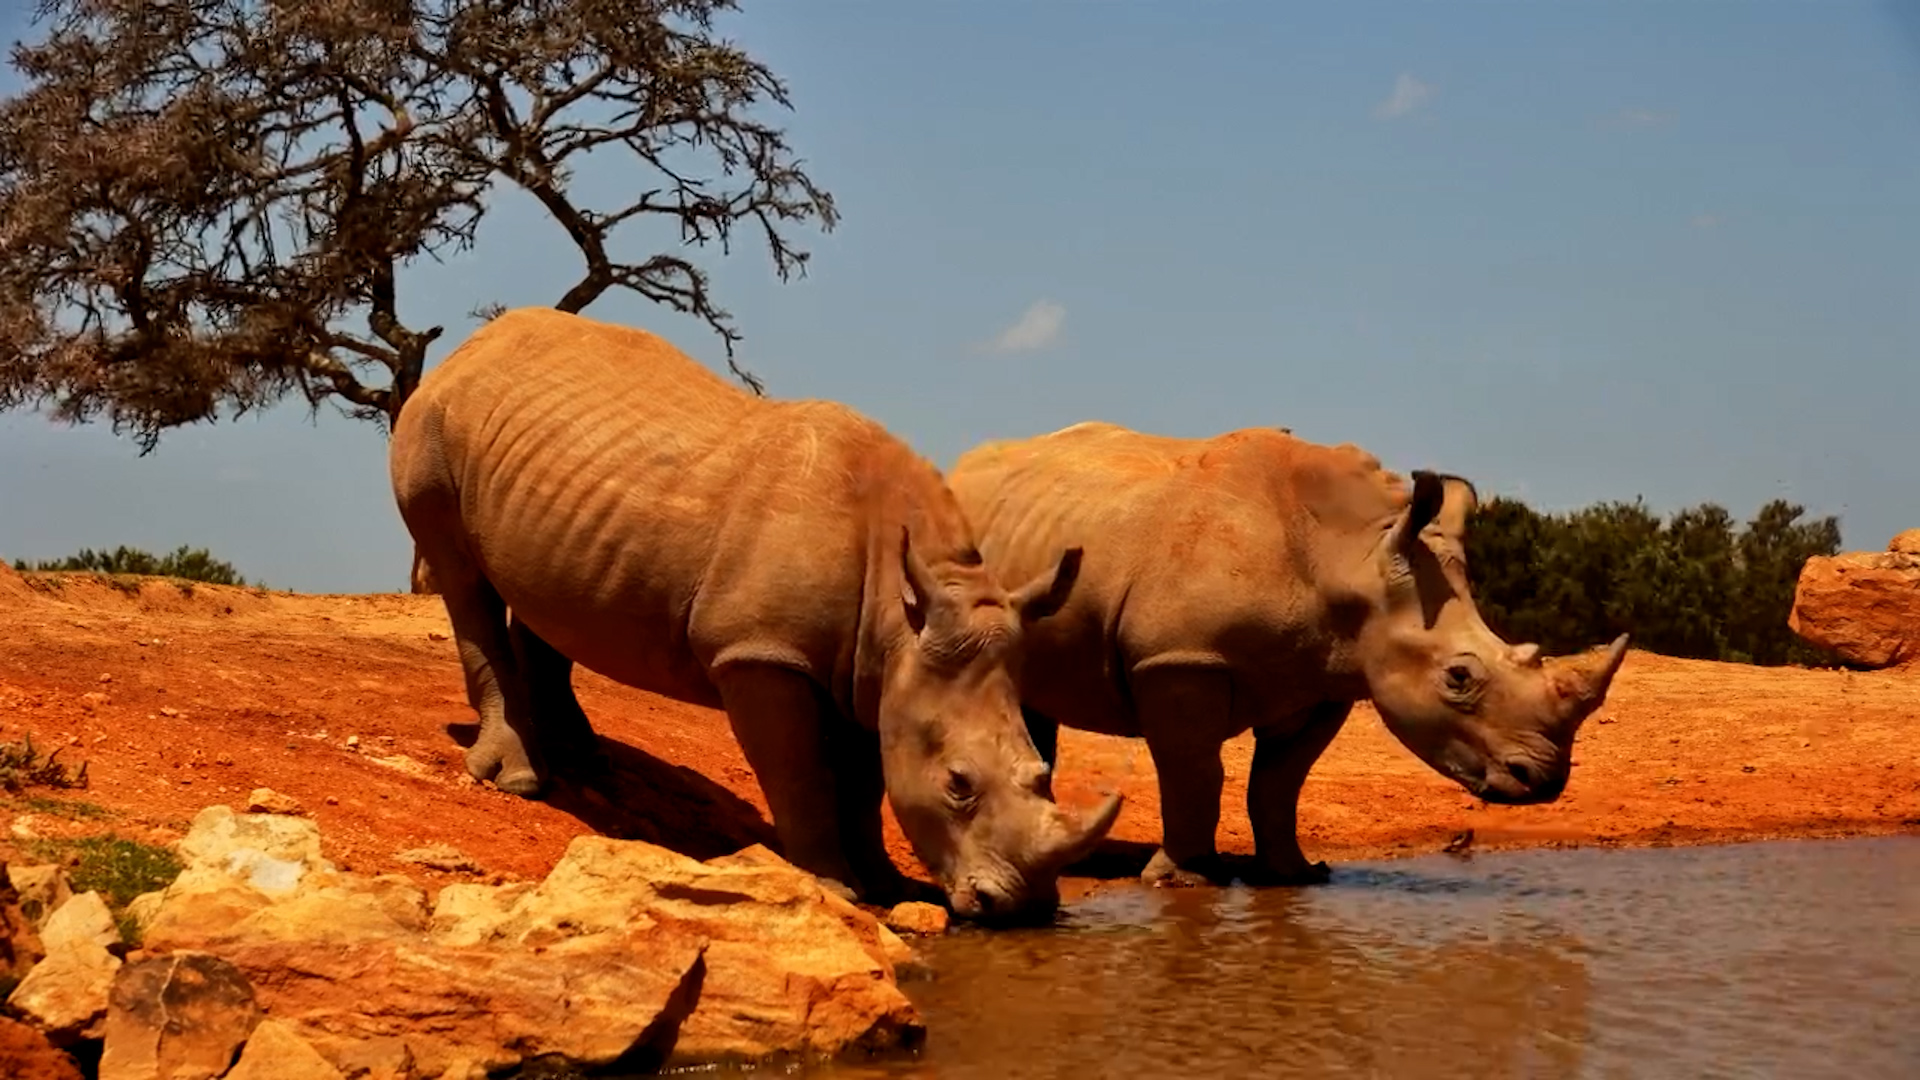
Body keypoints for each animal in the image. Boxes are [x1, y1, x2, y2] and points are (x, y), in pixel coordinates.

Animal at [389, 308, 1121, 920]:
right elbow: (800, 773)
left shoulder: (872, 668)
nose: (1025, 907)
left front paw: (885, 886)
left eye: (1041, 777)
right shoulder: (762, 653)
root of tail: (466, 349)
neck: (905, 604)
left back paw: (584, 763)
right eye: (959, 784)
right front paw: (836, 888)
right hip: (430, 427)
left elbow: (866, 781)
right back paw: (521, 780)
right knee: (460, 572)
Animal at [948, 421, 1630, 887]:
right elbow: (1196, 772)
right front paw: (1185, 879)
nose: (1544, 781)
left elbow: (1280, 780)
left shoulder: (1327, 678)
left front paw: (1295, 875)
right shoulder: (1180, 660)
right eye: (1458, 677)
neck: (1350, 558)